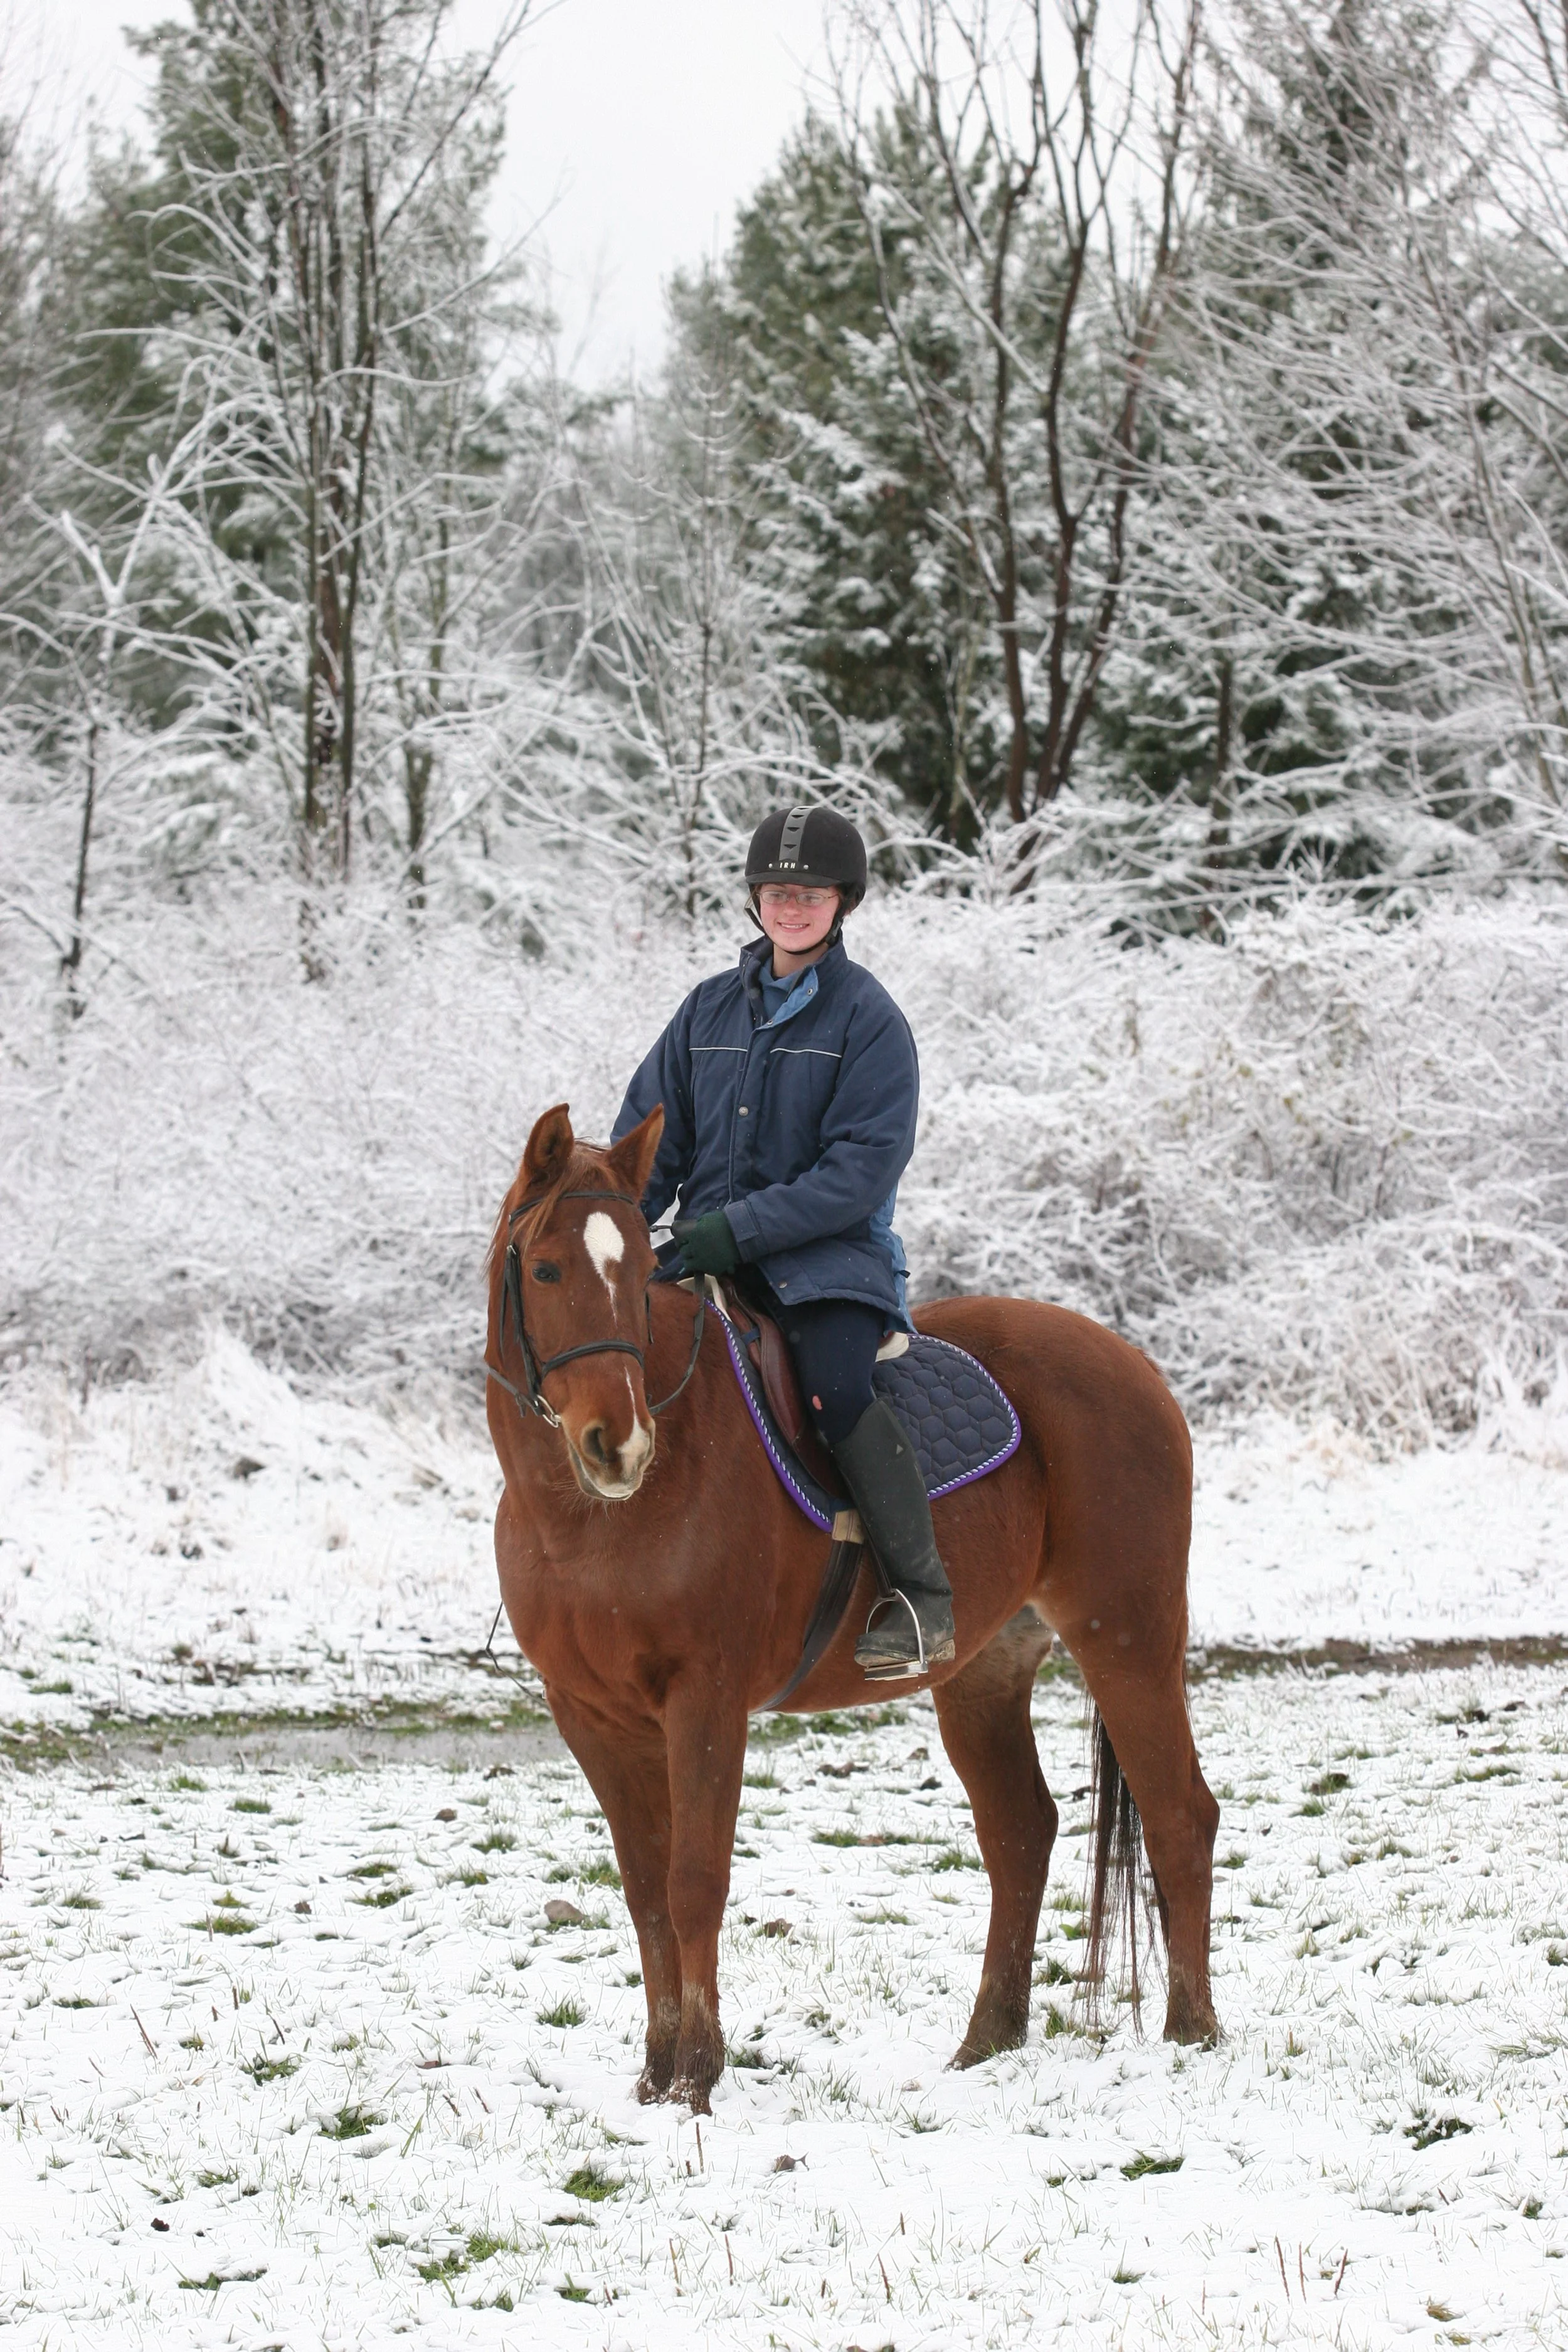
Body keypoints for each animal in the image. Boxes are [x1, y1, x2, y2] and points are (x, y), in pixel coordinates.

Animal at [486, 1103, 1219, 2114]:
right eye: (548, 1268)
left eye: (636, 1273)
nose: (617, 1444)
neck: (591, 1522)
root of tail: (1132, 1364)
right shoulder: (592, 1716)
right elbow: (642, 1891)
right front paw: (656, 2072)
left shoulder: (706, 1703)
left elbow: (693, 1880)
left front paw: (698, 2076)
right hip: (982, 1675)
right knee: (1021, 1833)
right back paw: (986, 2042)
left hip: (1129, 1641)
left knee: (1181, 1812)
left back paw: (1192, 2034)